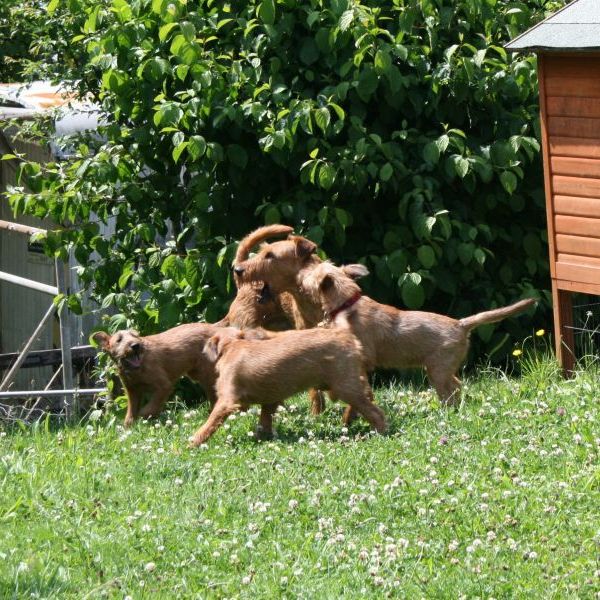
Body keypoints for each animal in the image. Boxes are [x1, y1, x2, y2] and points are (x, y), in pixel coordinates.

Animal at [93, 323, 223, 426]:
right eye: (119, 340)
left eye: (135, 336)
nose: (136, 346)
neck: (137, 368)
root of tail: (216, 327)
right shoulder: (133, 391)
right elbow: (131, 412)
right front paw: (128, 427)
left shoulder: (163, 386)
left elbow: (151, 407)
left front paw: (142, 418)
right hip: (198, 373)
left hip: (207, 374)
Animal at [188, 326, 387, 446]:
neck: (233, 345)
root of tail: (352, 340)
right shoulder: (270, 400)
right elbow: (264, 421)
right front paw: (263, 437)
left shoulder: (226, 402)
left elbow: (209, 423)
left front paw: (193, 442)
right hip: (344, 384)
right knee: (366, 399)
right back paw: (349, 419)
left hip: (344, 386)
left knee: (374, 410)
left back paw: (380, 431)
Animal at [300, 262, 536, 407]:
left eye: (310, 274)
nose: (301, 273)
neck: (348, 301)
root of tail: (460, 324)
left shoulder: (365, 354)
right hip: (443, 369)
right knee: (457, 386)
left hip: (437, 370)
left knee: (451, 390)